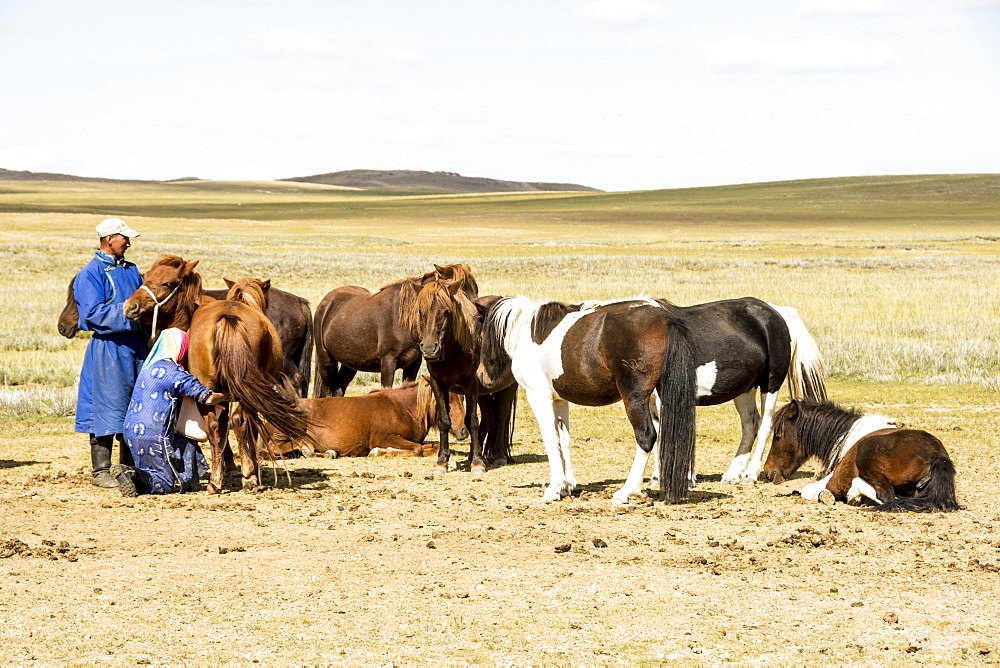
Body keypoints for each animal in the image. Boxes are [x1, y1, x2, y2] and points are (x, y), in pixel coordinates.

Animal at [258, 376, 468, 460]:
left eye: (462, 397)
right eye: (446, 398)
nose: (463, 431)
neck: (404, 408)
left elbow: (430, 448)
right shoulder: (383, 437)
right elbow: (416, 449)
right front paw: (379, 451)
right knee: (274, 449)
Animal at [312, 262, 480, 396]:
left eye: (475, 291)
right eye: (460, 293)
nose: (476, 318)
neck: (403, 321)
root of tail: (326, 302)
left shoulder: (413, 365)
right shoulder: (388, 362)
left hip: (350, 363)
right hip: (326, 361)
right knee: (326, 391)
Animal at [476, 294, 828, 504]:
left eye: (478, 328)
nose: (480, 377)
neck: (531, 332)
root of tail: (777, 313)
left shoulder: (539, 396)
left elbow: (551, 442)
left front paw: (553, 490)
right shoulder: (559, 399)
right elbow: (564, 441)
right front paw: (568, 484)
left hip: (767, 385)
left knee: (763, 425)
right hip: (744, 390)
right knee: (750, 425)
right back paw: (732, 473)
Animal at [764, 402, 960, 512]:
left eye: (778, 435)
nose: (768, 471)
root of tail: (935, 454)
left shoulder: (831, 481)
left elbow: (807, 491)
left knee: (888, 496)